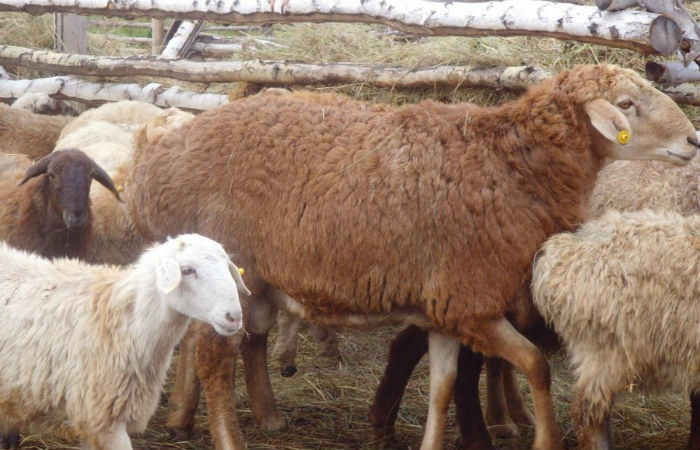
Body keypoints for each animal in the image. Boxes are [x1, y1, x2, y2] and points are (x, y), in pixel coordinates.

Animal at [0, 234, 250, 448]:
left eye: (226, 267)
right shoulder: (103, 419)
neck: (126, 321)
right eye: (188, 270)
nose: (234, 317)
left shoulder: (90, 418)